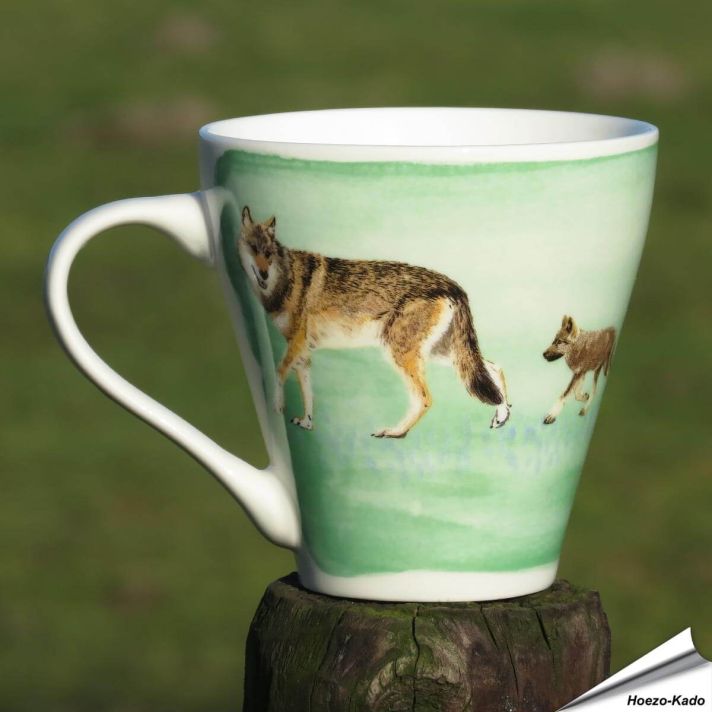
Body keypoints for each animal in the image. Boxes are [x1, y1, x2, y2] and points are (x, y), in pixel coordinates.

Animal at [237, 206, 511, 438]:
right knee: (495, 368)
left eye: (268, 253)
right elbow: (306, 391)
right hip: (443, 355)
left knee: (424, 398)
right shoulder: (303, 351)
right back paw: (502, 415)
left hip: (402, 355)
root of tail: (455, 286)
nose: (263, 274)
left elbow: (278, 370)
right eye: (253, 248)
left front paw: (277, 406)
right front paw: (306, 423)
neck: (283, 280)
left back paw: (395, 432)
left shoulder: (296, 343)